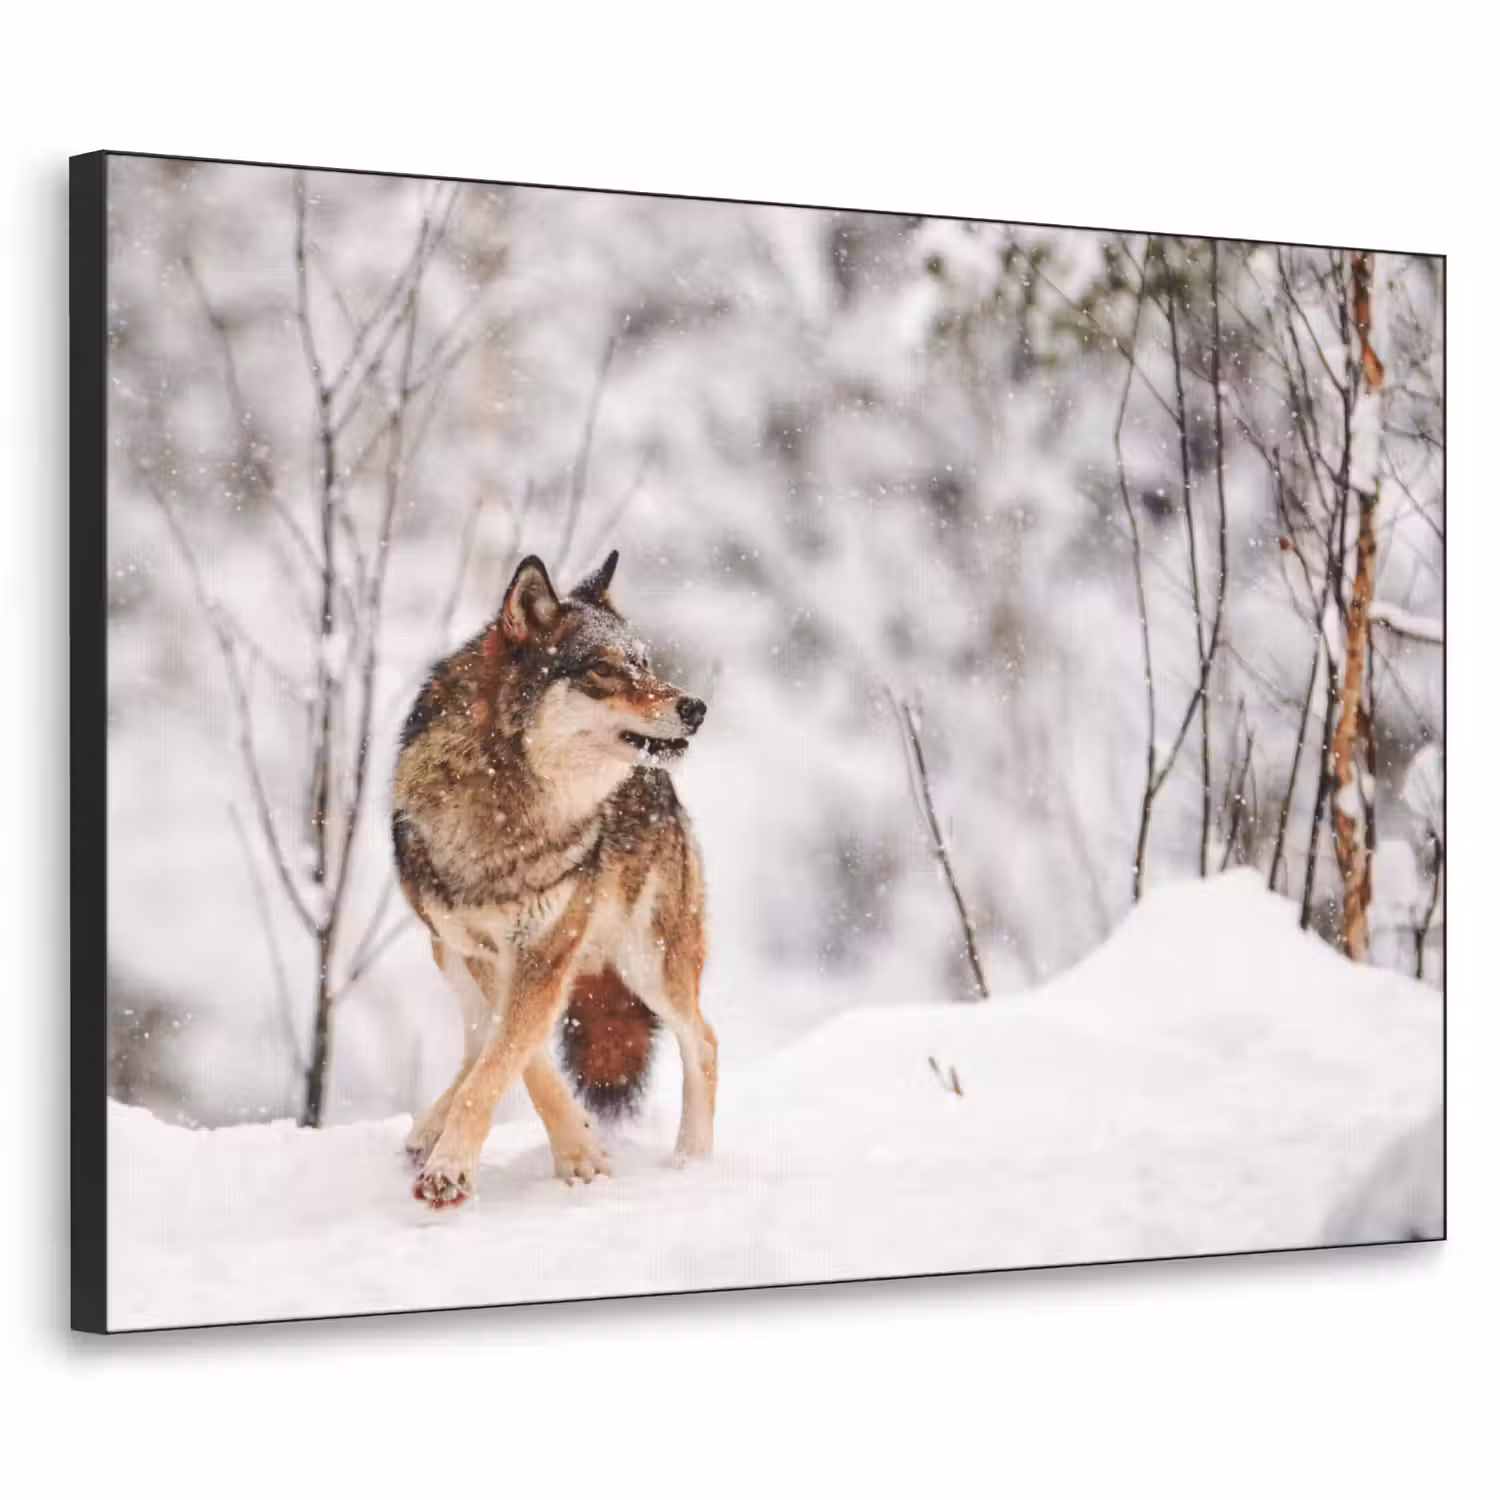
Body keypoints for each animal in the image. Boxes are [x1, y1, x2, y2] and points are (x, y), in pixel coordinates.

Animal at [391, 549, 716, 1209]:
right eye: (603, 670)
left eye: (645, 664)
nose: (695, 708)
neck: (509, 808)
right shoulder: (487, 953)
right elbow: (518, 1058)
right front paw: (577, 1152)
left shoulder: (544, 951)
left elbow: (507, 1058)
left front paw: (453, 1169)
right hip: (447, 953)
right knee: (475, 1039)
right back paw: (428, 1128)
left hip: (651, 962)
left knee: (704, 1041)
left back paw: (690, 1161)